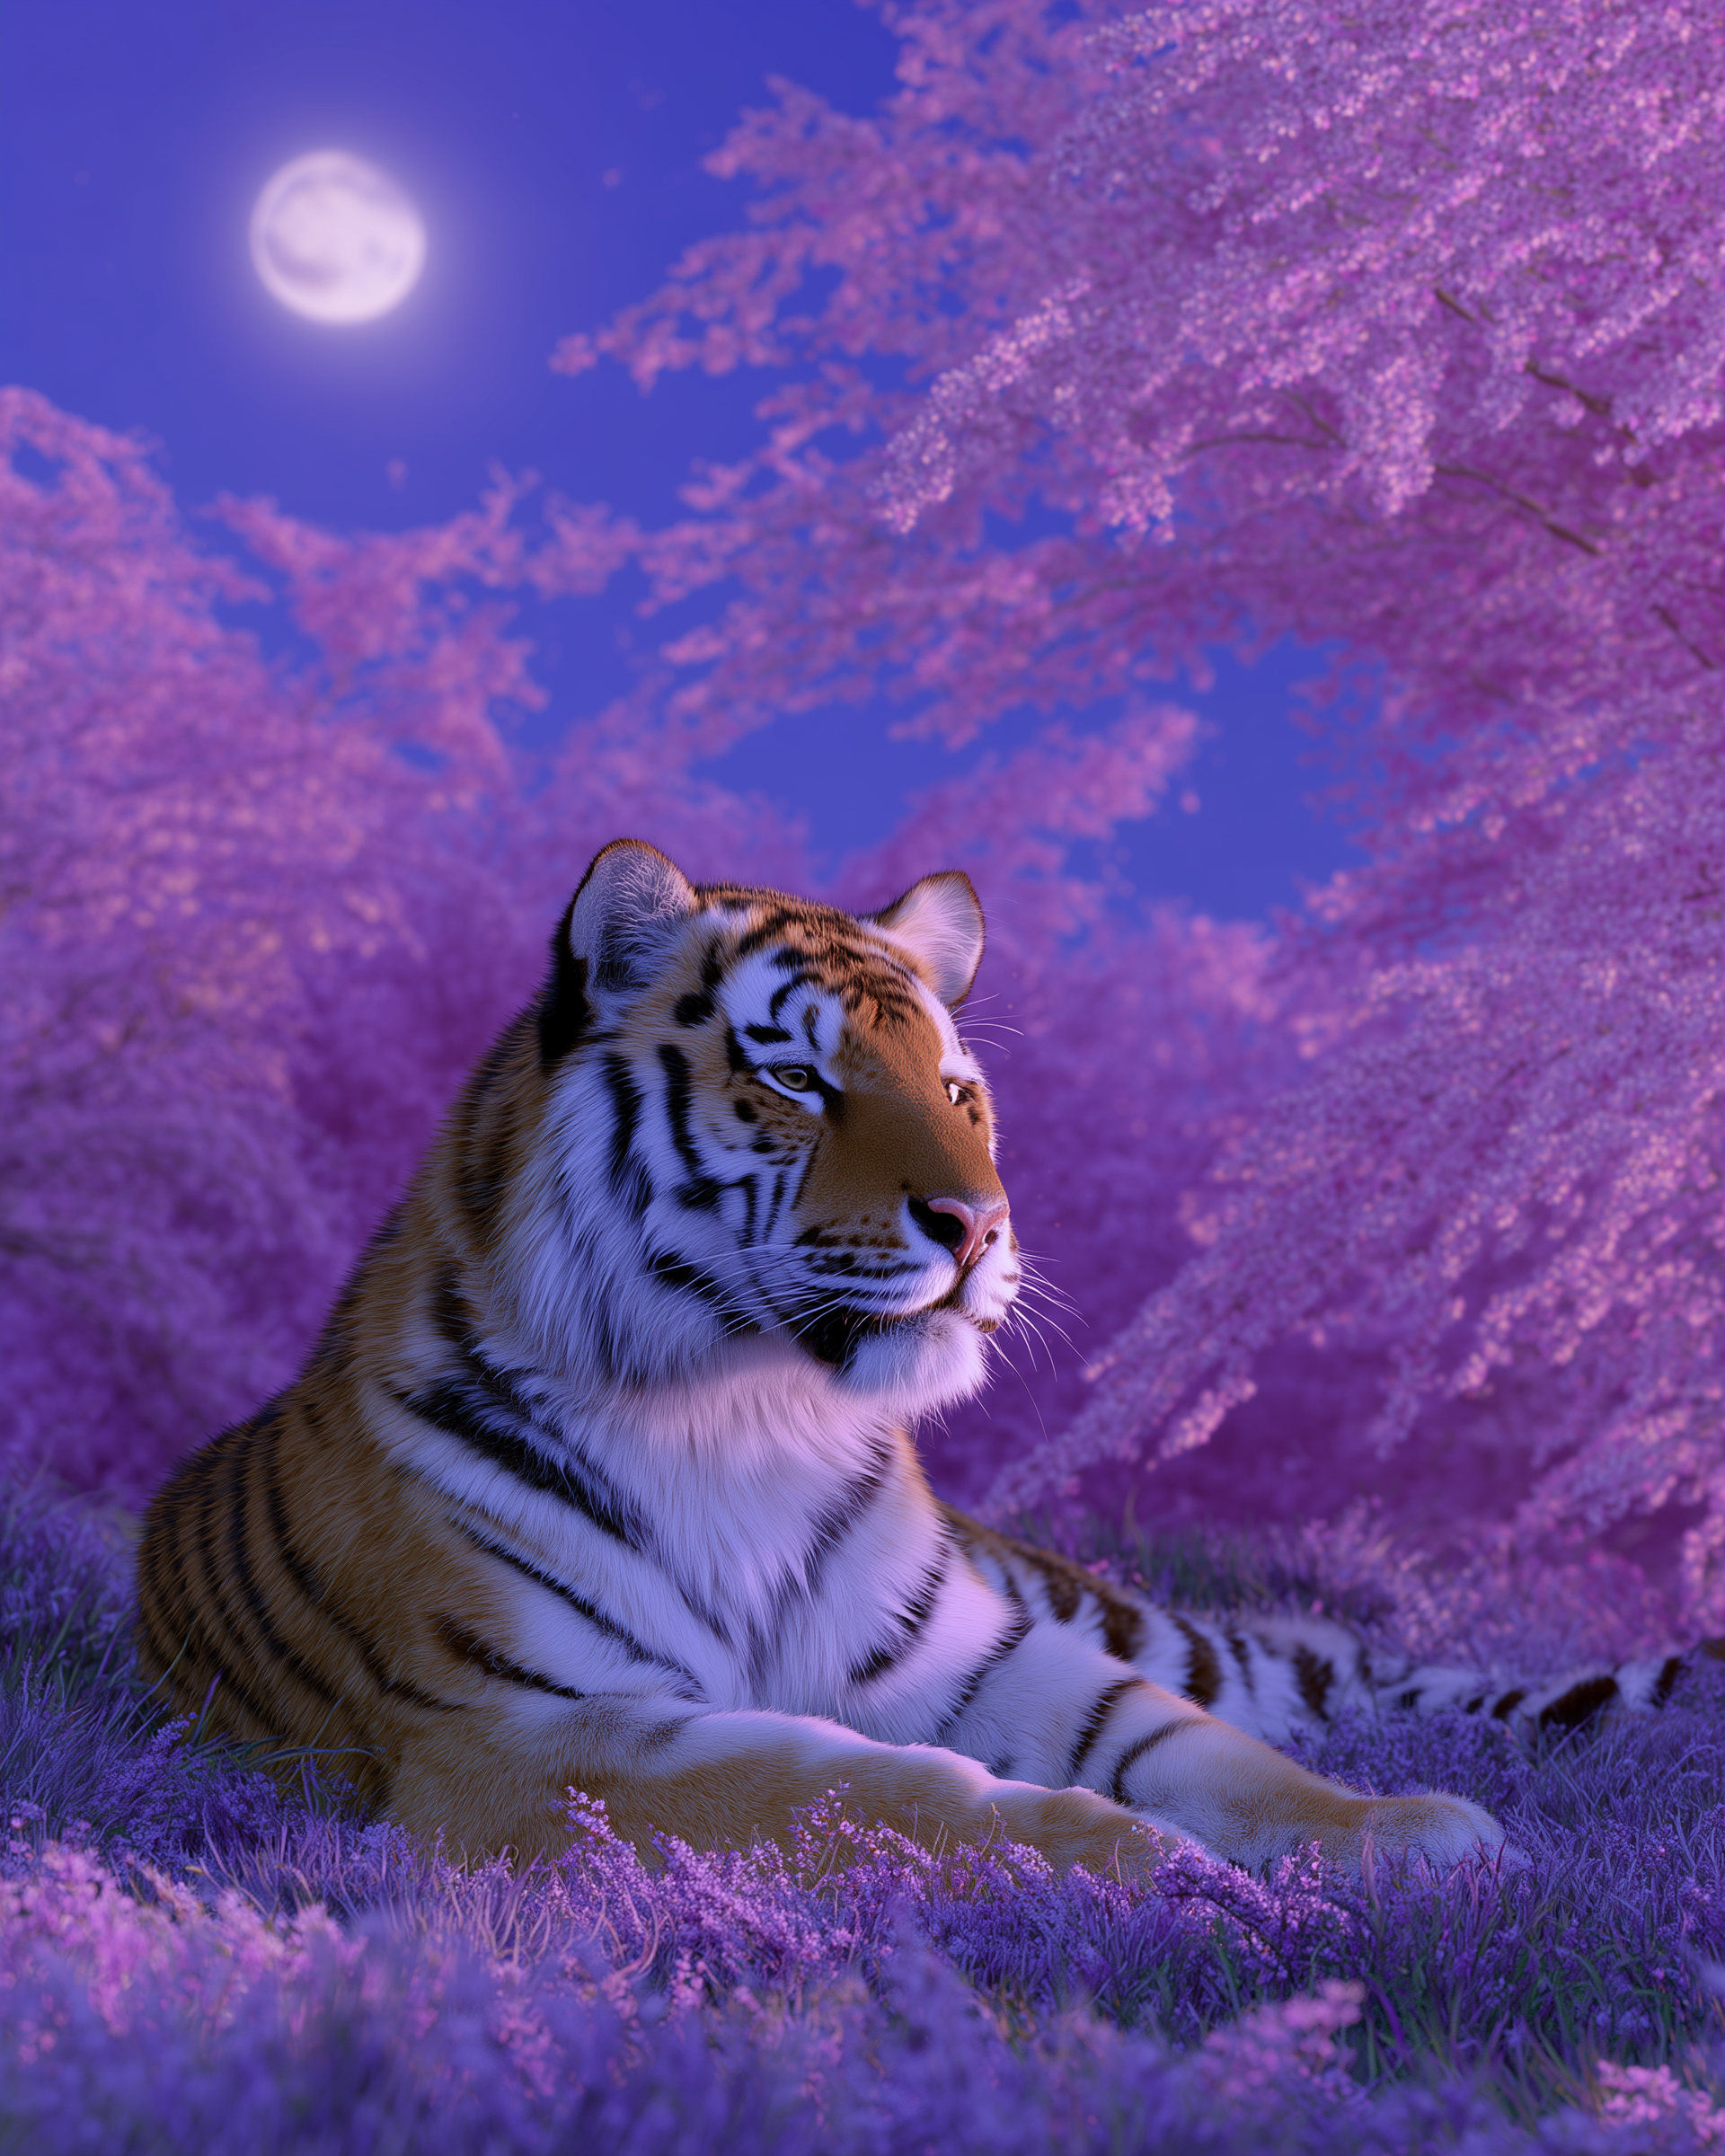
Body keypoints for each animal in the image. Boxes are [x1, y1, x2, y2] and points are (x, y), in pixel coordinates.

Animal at [141, 837, 1642, 1878]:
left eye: (961, 1091)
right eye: (799, 1080)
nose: (979, 1224)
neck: (743, 1413)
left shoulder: (986, 1653)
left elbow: (1181, 1736)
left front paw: (1395, 1830)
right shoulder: (513, 1734)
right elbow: (855, 1785)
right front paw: (1136, 1858)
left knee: (1316, 1665)